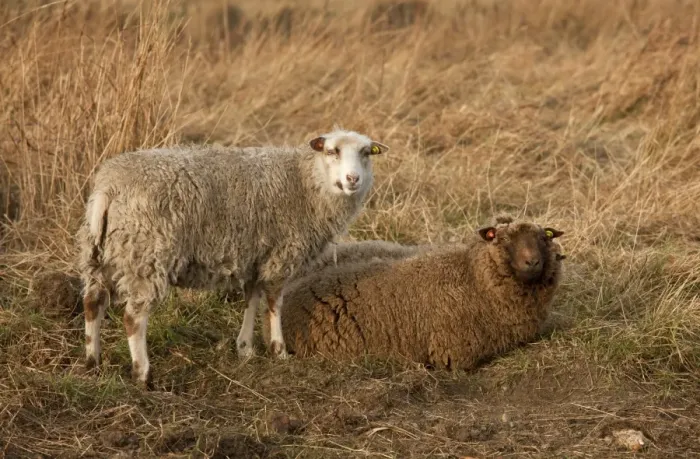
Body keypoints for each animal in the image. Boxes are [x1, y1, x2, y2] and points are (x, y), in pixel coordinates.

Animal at [77, 127, 389, 385]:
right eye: (332, 151)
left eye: (365, 153)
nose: (352, 179)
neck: (305, 181)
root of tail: (109, 187)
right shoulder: (281, 255)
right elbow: (274, 303)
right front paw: (279, 351)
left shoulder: (254, 257)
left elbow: (251, 300)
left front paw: (246, 348)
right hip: (147, 254)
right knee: (133, 317)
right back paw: (142, 374)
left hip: (102, 252)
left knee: (93, 302)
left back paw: (93, 362)